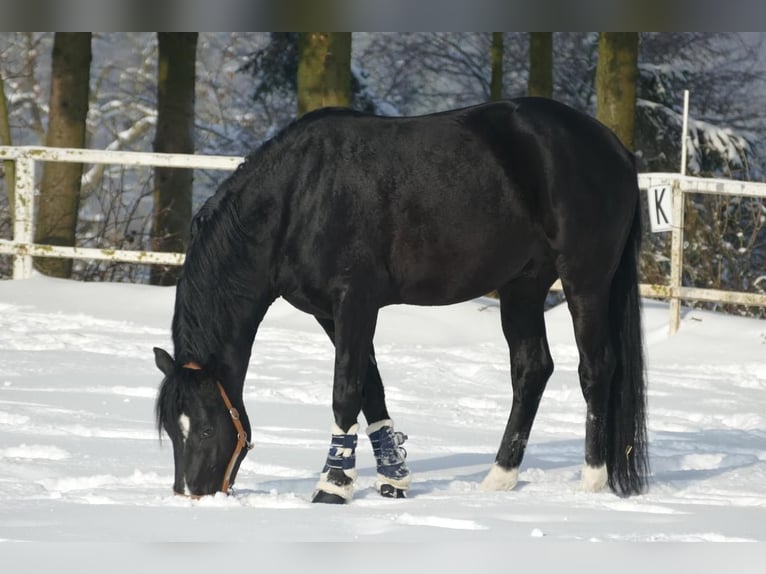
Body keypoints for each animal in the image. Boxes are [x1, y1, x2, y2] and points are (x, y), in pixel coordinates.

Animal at [154, 98, 648, 504]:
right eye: (171, 429)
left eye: (203, 427)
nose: (192, 493)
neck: (298, 197)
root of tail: (616, 149)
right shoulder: (330, 313)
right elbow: (371, 389)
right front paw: (393, 481)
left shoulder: (355, 301)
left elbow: (345, 391)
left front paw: (332, 487)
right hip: (522, 286)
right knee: (531, 369)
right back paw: (499, 479)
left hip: (585, 280)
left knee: (596, 368)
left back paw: (592, 480)